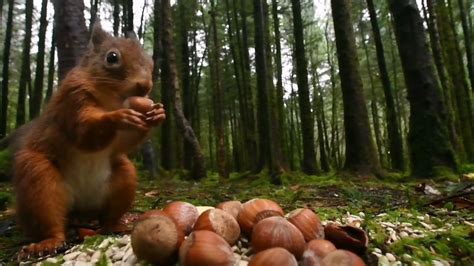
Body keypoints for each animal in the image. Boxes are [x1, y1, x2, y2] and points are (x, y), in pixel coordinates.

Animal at [13, 23, 165, 258]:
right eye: (112, 57)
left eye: (150, 60)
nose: (145, 86)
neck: (111, 99)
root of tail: (82, 210)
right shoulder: (73, 99)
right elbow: (84, 132)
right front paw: (118, 117)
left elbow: (121, 144)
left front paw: (157, 114)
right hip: (37, 177)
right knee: (50, 216)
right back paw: (48, 242)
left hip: (123, 177)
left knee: (108, 217)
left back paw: (118, 224)